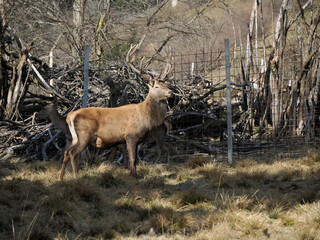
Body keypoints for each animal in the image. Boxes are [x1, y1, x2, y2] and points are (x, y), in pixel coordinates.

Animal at [60, 44, 174, 180]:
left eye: (166, 85)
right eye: (156, 86)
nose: (170, 92)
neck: (145, 116)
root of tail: (70, 116)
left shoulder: (135, 139)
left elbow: (135, 160)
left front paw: (133, 174)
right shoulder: (131, 135)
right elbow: (132, 159)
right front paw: (133, 177)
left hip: (75, 137)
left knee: (66, 152)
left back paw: (61, 178)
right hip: (84, 135)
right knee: (72, 153)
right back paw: (77, 175)